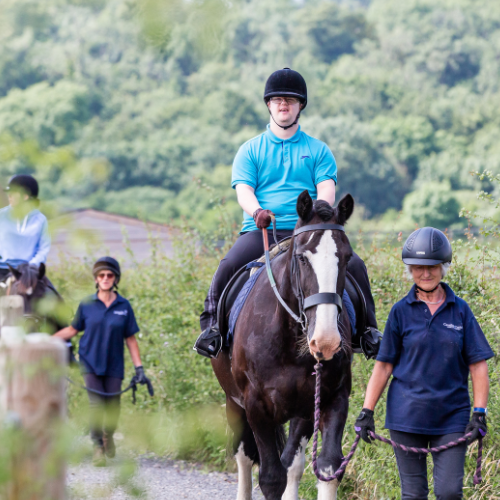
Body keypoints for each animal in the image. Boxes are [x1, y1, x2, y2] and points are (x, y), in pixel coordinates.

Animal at [211, 191, 356, 500]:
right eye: (302, 258)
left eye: (347, 258)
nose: (326, 340)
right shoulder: (256, 406)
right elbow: (270, 478)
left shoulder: (332, 398)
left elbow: (327, 468)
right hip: (234, 402)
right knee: (243, 456)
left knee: (292, 462)